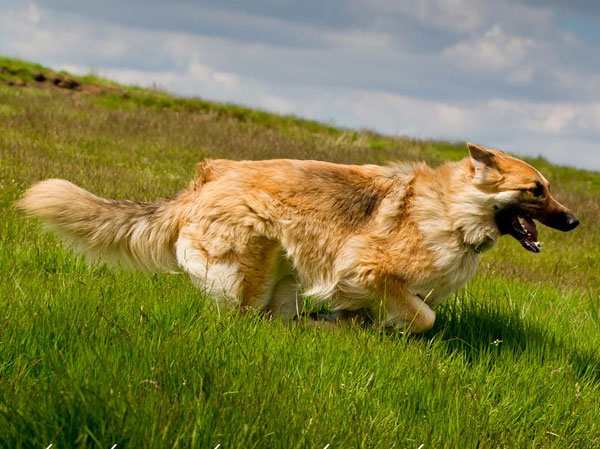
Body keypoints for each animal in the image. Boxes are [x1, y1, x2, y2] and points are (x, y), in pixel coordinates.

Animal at [18, 144, 580, 332]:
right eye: (535, 191)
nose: (575, 222)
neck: (454, 211)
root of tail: (207, 178)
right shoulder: (368, 268)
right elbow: (424, 317)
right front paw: (380, 328)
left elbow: (390, 313)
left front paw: (352, 326)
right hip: (251, 268)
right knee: (243, 315)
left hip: (282, 273)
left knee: (277, 312)